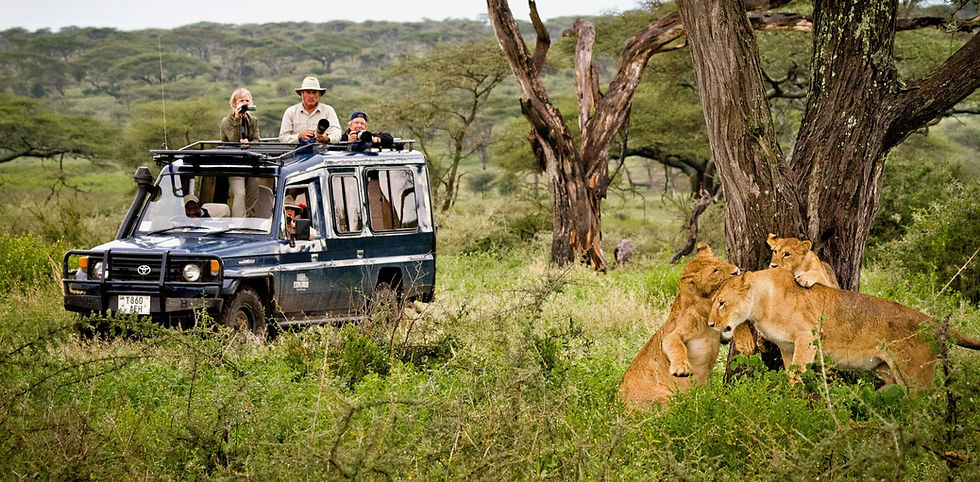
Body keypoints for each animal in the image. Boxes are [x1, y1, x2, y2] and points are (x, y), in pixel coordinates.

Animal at [618, 243, 754, 411]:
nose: (736, 270)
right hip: (664, 397)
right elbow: (674, 344)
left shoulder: (721, 334)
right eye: (715, 271)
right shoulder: (676, 331)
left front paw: (746, 343)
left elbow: (735, 324)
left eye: (720, 261)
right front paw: (681, 368)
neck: (707, 304)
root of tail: (615, 405)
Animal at [707, 268, 980, 391]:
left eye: (721, 303)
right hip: (887, 369)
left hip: (916, 374)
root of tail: (929, 321)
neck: (761, 305)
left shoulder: (808, 336)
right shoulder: (787, 347)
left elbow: (797, 374)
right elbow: (789, 369)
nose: (710, 325)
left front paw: (790, 398)